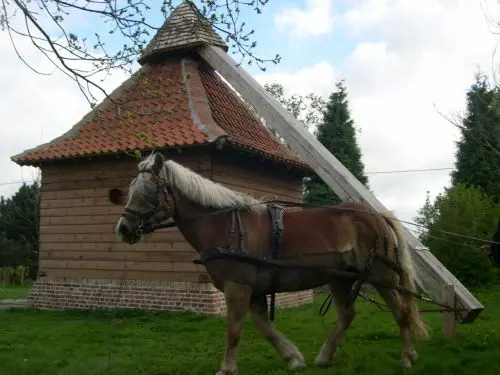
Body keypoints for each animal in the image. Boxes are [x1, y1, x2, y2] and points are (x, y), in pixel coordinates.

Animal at [115, 153, 428, 375]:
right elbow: (263, 327)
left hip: (381, 275)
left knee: (400, 312)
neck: (224, 225)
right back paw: (325, 356)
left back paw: (407, 357)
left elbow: (235, 329)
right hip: (341, 278)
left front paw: (226, 369)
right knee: (347, 315)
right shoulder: (253, 290)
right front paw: (293, 359)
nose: (123, 228)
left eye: (148, 191)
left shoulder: (237, 286)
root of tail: (378, 216)